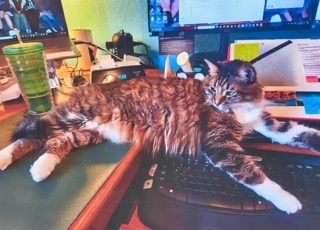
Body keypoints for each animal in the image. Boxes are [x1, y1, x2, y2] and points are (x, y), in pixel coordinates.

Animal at [0, 58, 320, 214]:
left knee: (52, 141)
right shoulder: (219, 144)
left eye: (228, 92)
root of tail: (84, 87)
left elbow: (297, 133)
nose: (217, 103)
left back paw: (39, 169)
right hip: (72, 116)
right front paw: (289, 201)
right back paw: (6, 158)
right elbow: (256, 176)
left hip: (85, 131)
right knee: (35, 128)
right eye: (211, 89)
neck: (239, 109)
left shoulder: (267, 123)